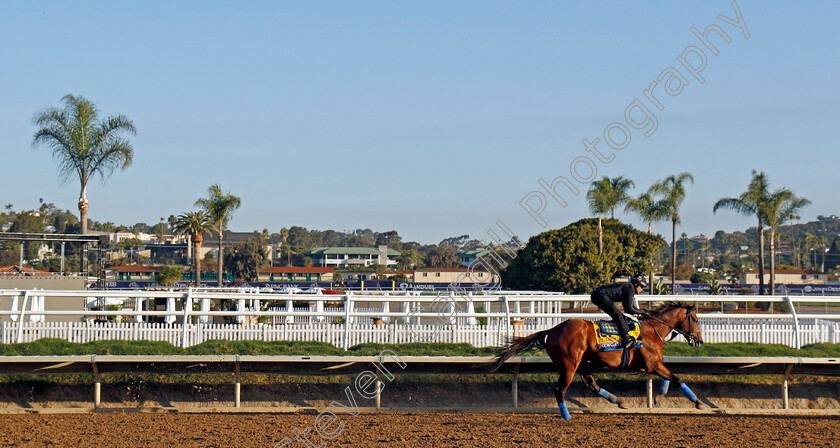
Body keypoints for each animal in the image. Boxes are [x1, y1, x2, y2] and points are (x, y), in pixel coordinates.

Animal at [492, 300, 708, 420]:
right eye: (696, 320)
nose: (699, 340)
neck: (653, 331)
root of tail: (552, 330)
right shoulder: (651, 365)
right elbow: (677, 378)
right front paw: (698, 402)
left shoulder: (653, 365)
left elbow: (671, 377)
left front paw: (663, 391)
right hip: (569, 365)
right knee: (560, 389)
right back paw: (566, 416)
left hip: (581, 363)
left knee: (591, 384)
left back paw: (618, 400)